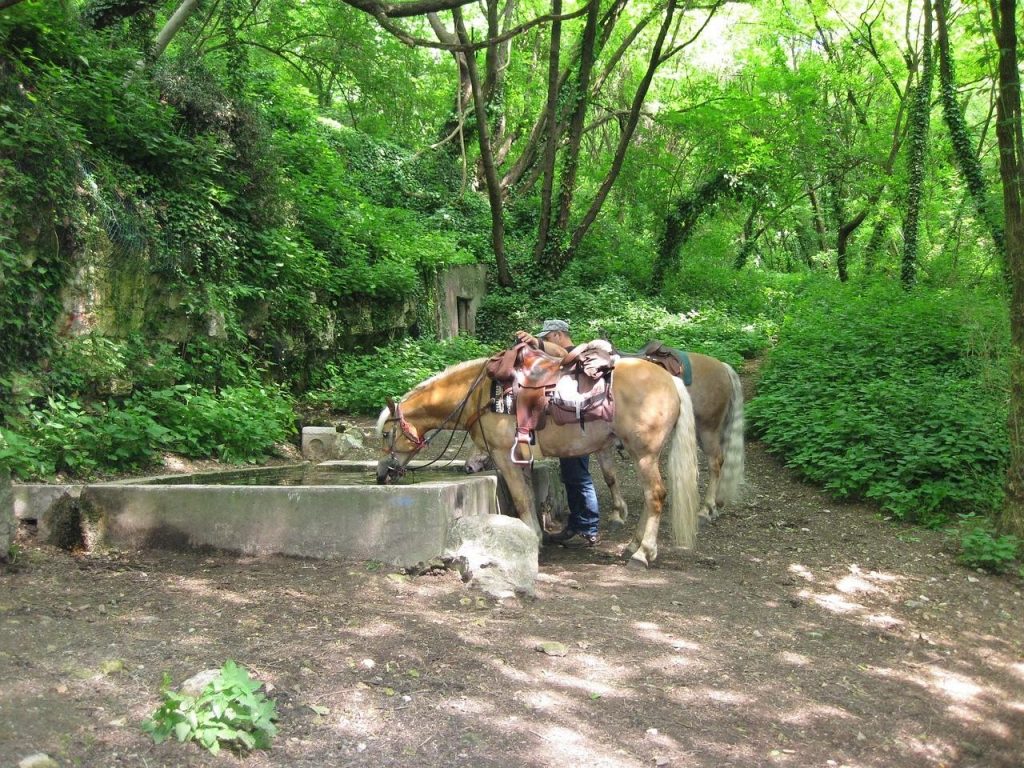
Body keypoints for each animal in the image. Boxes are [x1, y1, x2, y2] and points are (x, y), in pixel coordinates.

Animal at [375, 355, 701, 568]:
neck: (482, 395)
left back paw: (643, 554)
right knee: (649, 498)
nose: (381, 474)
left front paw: (531, 537)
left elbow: (520, 499)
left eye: (387, 433)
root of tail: (670, 380)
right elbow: (529, 497)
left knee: (655, 496)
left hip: (644, 454)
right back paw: (633, 545)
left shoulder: (504, 456)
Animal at [597, 349, 744, 527]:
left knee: (715, 464)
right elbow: (609, 477)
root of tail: (723, 367)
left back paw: (706, 509)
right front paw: (617, 513)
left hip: (707, 430)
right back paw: (716, 505)